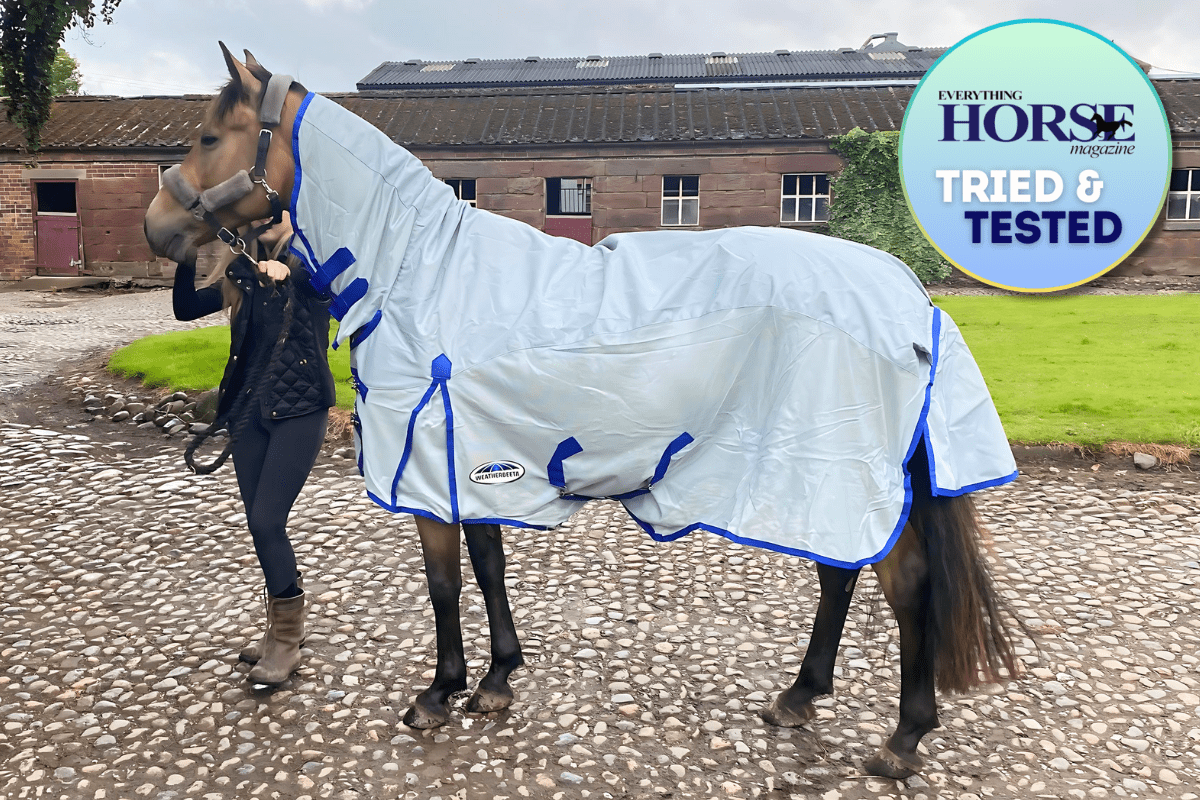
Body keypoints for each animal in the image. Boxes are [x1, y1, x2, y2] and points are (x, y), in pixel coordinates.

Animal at [144, 44, 1024, 779]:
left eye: (209, 134)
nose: (159, 228)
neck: (423, 275)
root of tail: (908, 297)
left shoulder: (430, 473)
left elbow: (443, 585)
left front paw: (438, 693)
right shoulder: (478, 462)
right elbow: (489, 567)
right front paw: (497, 679)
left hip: (837, 465)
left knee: (903, 586)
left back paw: (902, 740)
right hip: (815, 471)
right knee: (839, 573)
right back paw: (799, 698)